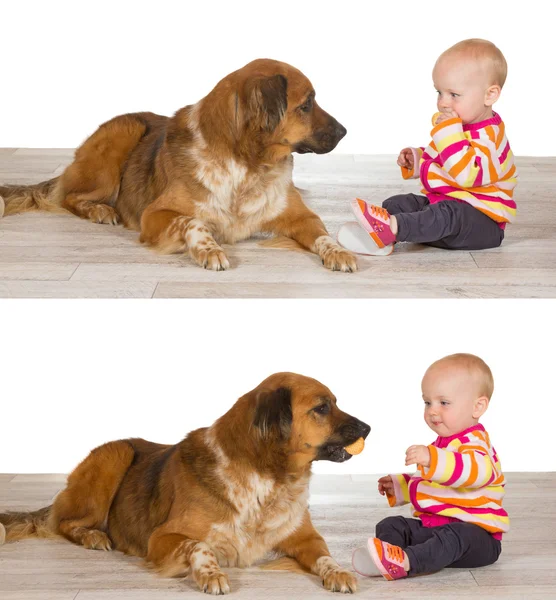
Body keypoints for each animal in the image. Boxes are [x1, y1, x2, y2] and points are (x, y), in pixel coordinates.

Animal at [0, 59, 356, 272]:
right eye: (306, 104)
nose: (344, 131)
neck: (247, 165)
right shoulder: (153, 216)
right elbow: (192, 221)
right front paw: (208, 249)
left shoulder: (301, 216)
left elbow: (323, 234)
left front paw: (338, 251)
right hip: (123, 134)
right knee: (69, 197)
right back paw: (100, 210)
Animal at [1, 372, 374, 592]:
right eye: (322, 407)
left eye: (334, 403)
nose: (369, 428)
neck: (266, 477)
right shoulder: (161, 538)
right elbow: (199, 545)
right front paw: (211, 573)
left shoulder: (305, 536)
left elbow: (325, 555)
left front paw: (338, 572)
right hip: (116, 454)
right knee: (65, 523)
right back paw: (93, 535)